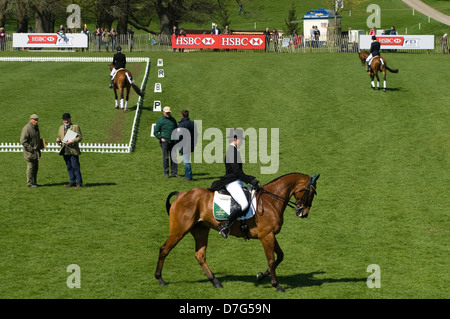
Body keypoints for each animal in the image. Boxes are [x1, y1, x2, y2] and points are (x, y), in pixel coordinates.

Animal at [155, 172, 320, 292]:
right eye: (311, 192)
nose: (303, 213)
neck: (271, 201)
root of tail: (182, 194)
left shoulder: (271, 235)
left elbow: (280, 256)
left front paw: (261, 275)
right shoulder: (266, 236)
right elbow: (272, 260)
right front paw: (276, 284)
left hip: (201, 231)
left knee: (200, 255)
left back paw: (216, 281)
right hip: (179, 230)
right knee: (164, 249)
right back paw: (160, 279)